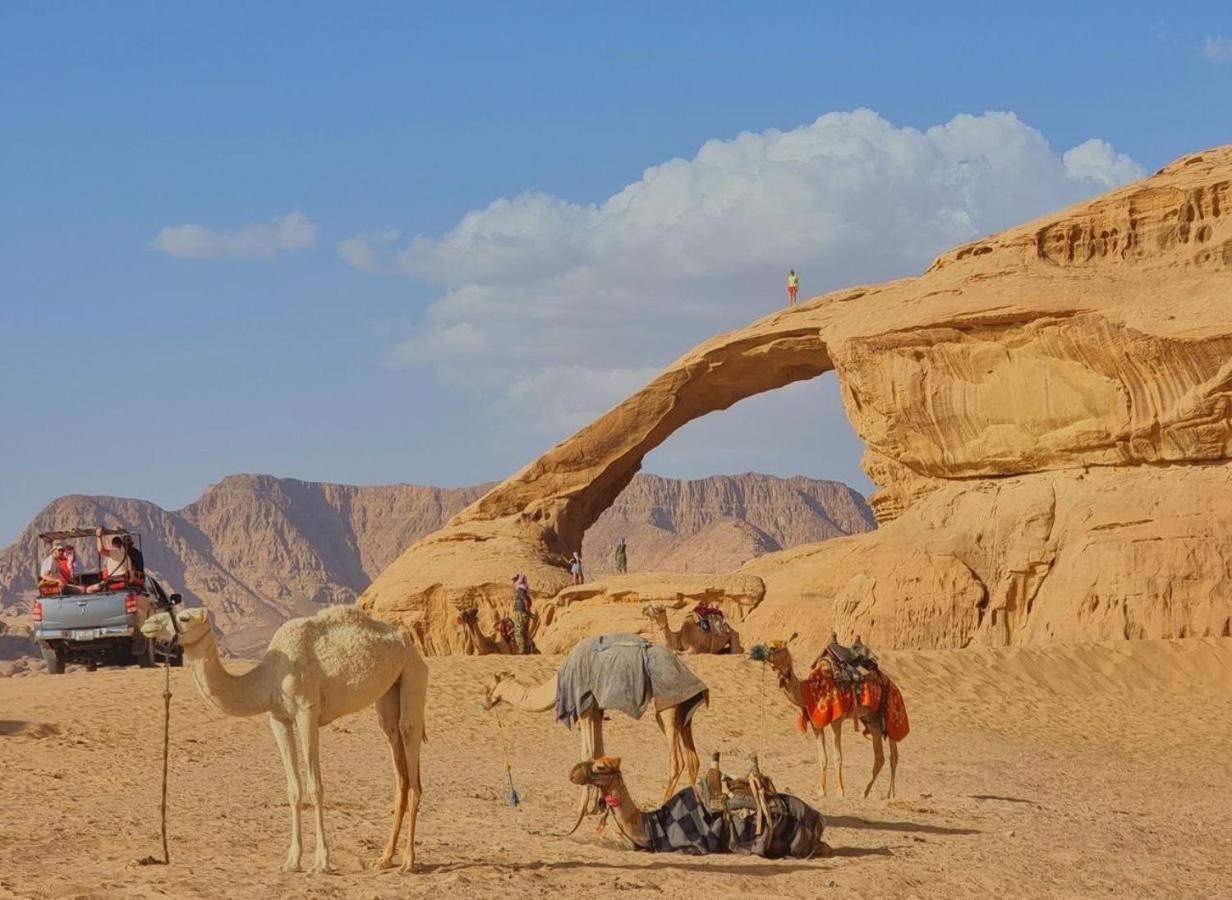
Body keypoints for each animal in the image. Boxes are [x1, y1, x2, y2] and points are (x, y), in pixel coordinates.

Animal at [142, 605, 428, 871]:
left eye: (184, 618)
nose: (147, 624)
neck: (269, 677)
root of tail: (408, 644)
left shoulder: (306, 712)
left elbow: (315, 787)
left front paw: (322, 862)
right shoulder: (278, 719)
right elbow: (293, 788)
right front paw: (292, 861)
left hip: (413, 674)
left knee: (411, 752)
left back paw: (408, 861)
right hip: (389, 694)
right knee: (399, 767)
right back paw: (385, 858)